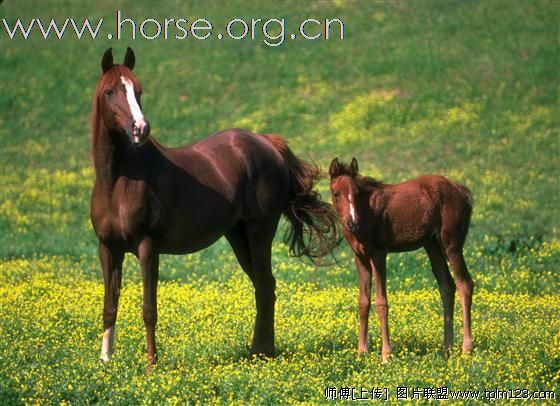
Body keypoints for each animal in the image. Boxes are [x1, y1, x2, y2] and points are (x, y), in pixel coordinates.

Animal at [90, 47, 340, 364]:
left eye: (139, 91)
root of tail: (266, 142)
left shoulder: (148, 248)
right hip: (237, 236)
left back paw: (261, 353)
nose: (140, 129)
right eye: (110, 91)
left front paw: (150, 365)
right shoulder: (108, 248)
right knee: (264, 286)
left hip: (259, 232)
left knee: (265, 286)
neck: (119, 181)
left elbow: (149, 309)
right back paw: (260, 351)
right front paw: (105, 363)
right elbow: (109, 306)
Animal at [328, 157, 472, 360]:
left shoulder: (379, 254)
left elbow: (381, 302)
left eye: (356, 193)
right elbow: (363, 302)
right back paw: (447, 348)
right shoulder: (360, 258)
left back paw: (467, 348)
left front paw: (386, 354)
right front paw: (361, 352)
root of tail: (460, 189)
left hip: (451, 245)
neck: (367, 212)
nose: (352, 222)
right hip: (433, 246)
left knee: (465, 284)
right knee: (447, 286)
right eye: (335, 193)